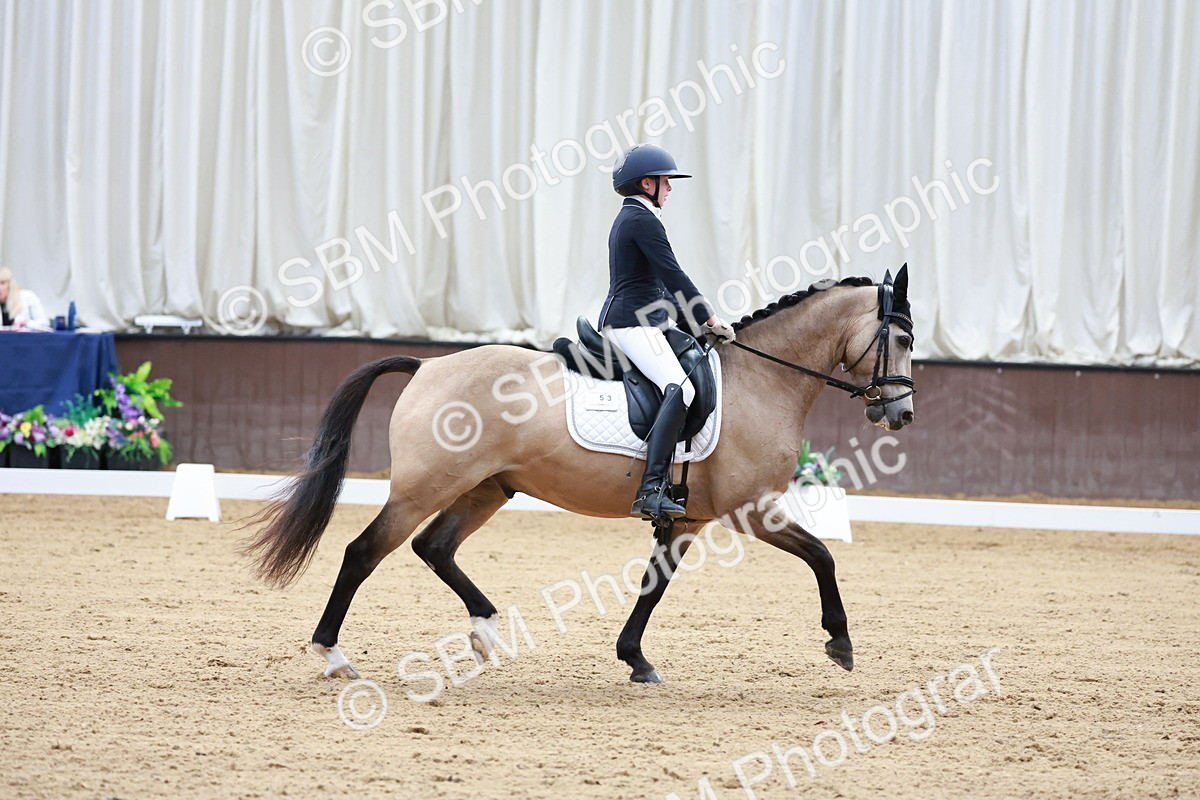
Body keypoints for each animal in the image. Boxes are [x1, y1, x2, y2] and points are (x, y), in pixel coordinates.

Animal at [243, 266, 916, 684]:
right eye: (904, 338)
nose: (901, 414)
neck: (764, 379)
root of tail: (427, 367)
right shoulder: (748, 509)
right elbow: (823, 554)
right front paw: (840, 642)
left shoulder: (688, 518)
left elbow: (653, 584)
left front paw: (635, 659)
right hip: (425, 487)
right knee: (364, 552)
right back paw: (333, 656)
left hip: (487, 487)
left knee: (434, 547)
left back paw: (485, 630)